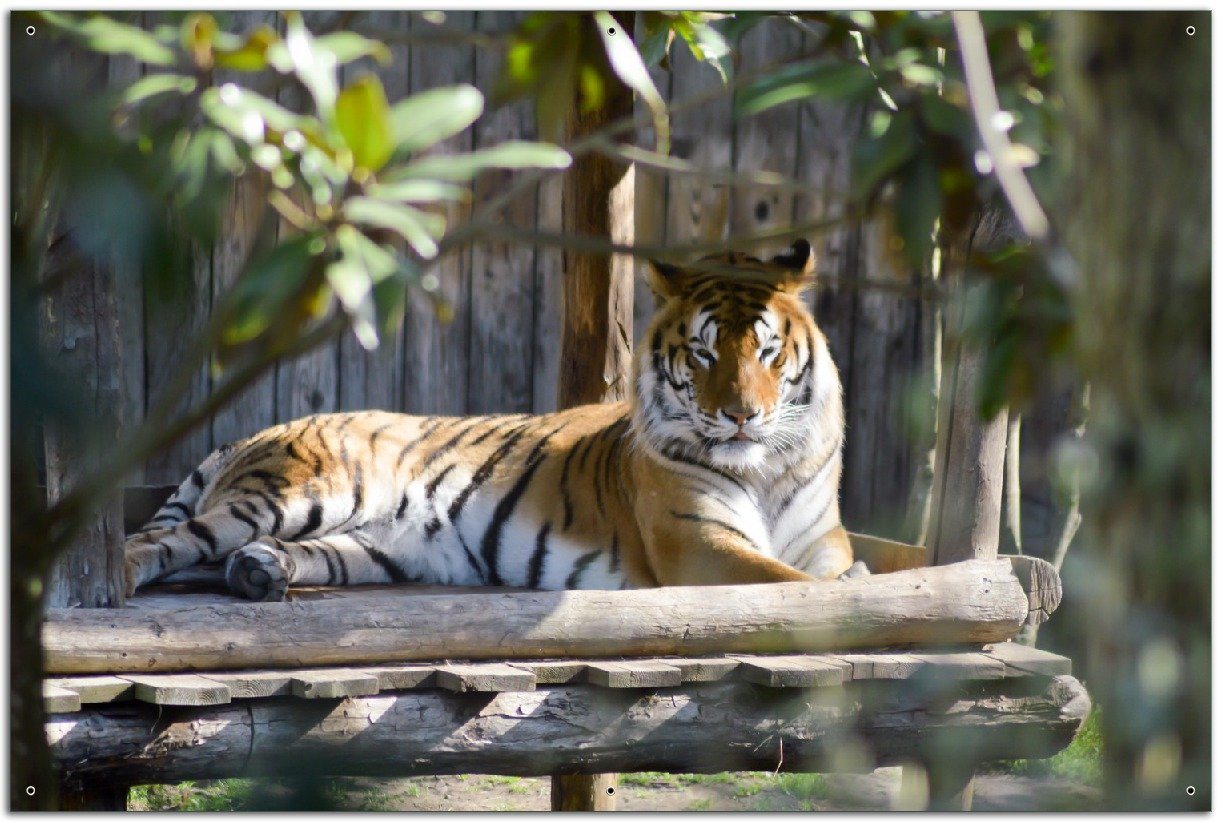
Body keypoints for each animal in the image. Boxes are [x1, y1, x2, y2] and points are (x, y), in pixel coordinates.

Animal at [124, 239, 860, 603]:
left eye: (767, 351)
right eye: (705, 352)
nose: (741, 415)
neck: (766, 469)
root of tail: (252, 435)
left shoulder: (825, 537)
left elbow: (839, 574)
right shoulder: (698, 543)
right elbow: (794, 588)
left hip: (376, 546)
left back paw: (259, 572)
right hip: (299, 493)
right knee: (159, 542)